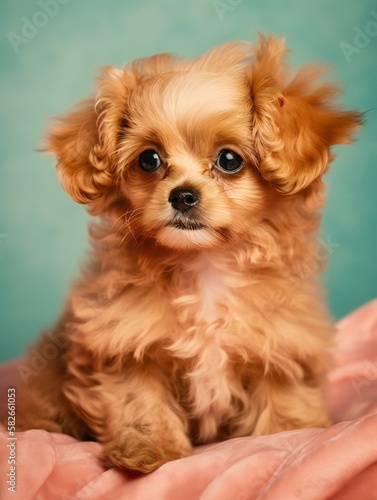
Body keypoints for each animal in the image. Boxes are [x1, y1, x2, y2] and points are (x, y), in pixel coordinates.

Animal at [15, 35, 362, 472]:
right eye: (149, 159)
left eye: (229, 160)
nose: (182, 195)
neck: (206, 265)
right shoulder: (124, 344)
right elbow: (139, 402)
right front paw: (147, 450)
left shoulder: (285, 344)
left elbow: (284, 398)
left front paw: (286, 437)